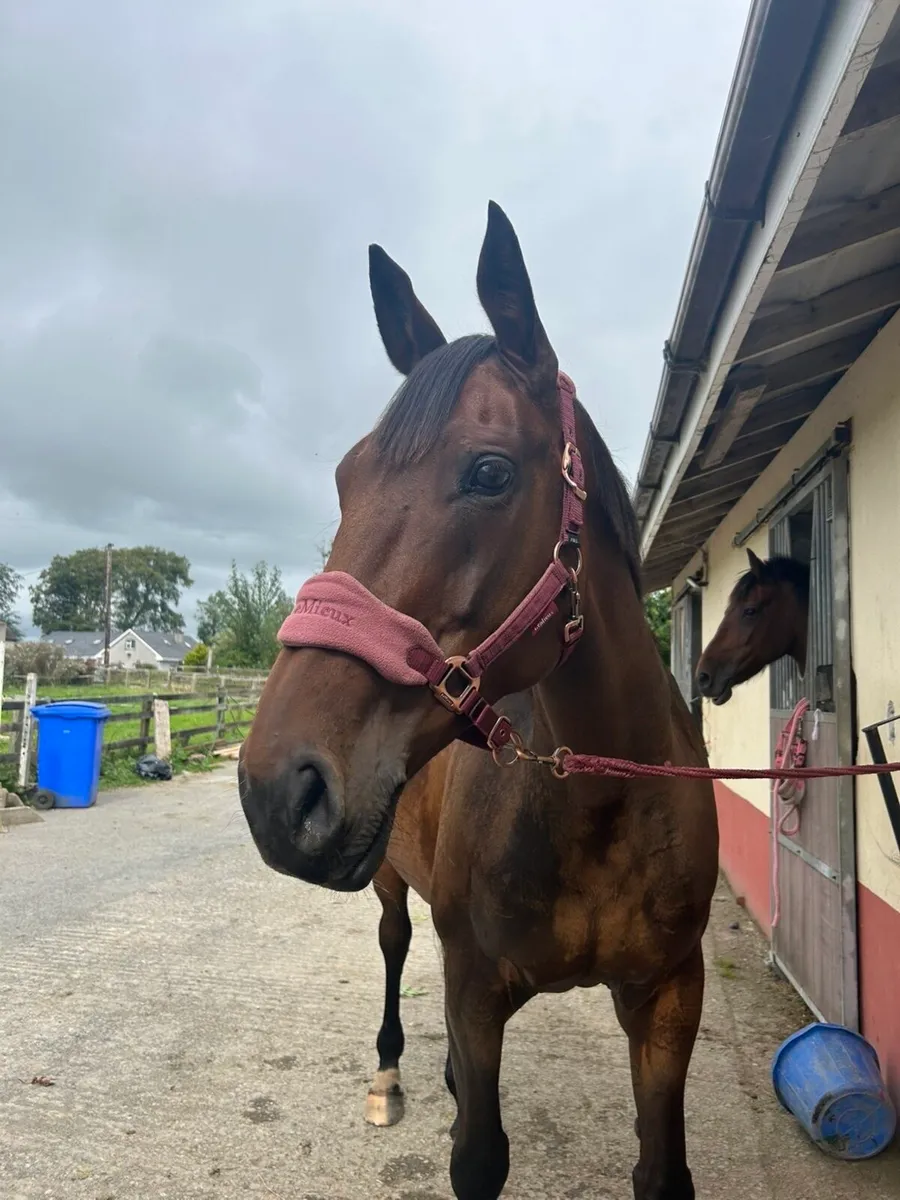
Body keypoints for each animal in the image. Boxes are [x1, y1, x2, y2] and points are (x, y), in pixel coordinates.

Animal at [239, 202, 719, 1200]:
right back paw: (391, 1074)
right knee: (393, 947)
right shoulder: (472, 983)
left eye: (490, 472)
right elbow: (477, 1156)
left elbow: (660, 1169)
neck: (599, 795)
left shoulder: (668, 1000)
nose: (275, 788)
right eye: (344, 480)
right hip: (388, 883)